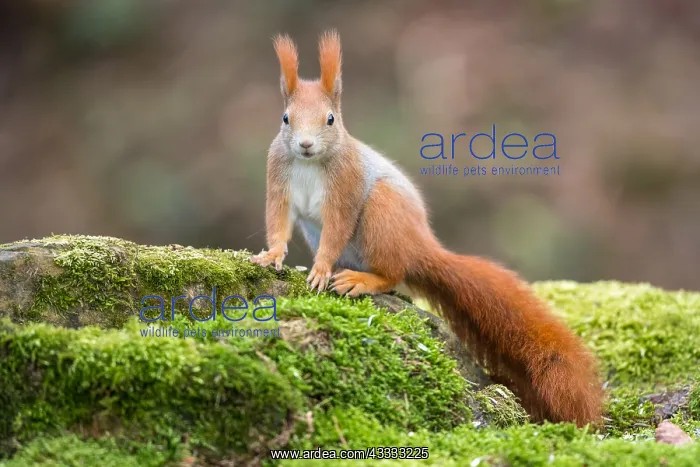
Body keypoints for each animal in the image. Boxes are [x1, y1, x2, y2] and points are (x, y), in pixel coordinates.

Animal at [250, 30, 604, 427]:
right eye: (285, 118)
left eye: (330, 120)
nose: (306, 144)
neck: (310, 163)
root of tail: (421, 247)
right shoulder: (278, 178)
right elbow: (278, 220)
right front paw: (272, 256)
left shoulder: (347, 186)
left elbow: (337, 226)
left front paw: (321, 269)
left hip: (383, 211)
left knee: (392, 273)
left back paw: (361, 280)